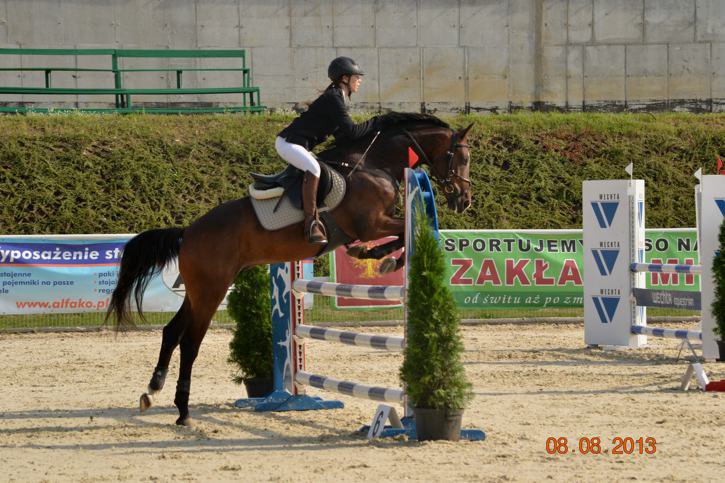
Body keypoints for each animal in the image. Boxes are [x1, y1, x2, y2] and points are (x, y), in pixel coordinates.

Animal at [107, 112, 473, 426]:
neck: (374, 164)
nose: (464, 199)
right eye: (463, 158)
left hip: (198, 291)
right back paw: (182, 411)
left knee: (171, 332)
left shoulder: (372, 225)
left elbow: (396, 236)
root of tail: (188, 233)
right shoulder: (371, 224)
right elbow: (401, 233)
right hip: (212, 290)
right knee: (189, 343)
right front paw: (386, 258)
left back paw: (152, 391)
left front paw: (376, 255)